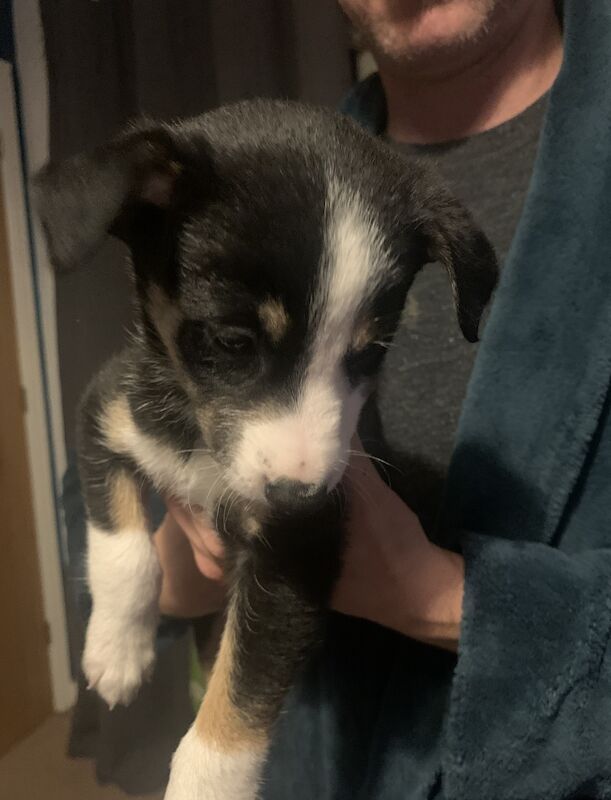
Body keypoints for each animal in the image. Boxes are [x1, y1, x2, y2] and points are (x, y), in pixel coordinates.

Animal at [34, 101, 498, 800]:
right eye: (231, 341)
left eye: (370, 351)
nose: (296, 495)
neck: (200, 446)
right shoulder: (106, 409)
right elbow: (125, 551)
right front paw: (116, 650)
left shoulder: (301, 548)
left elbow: (244, 684)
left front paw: (203, 784)